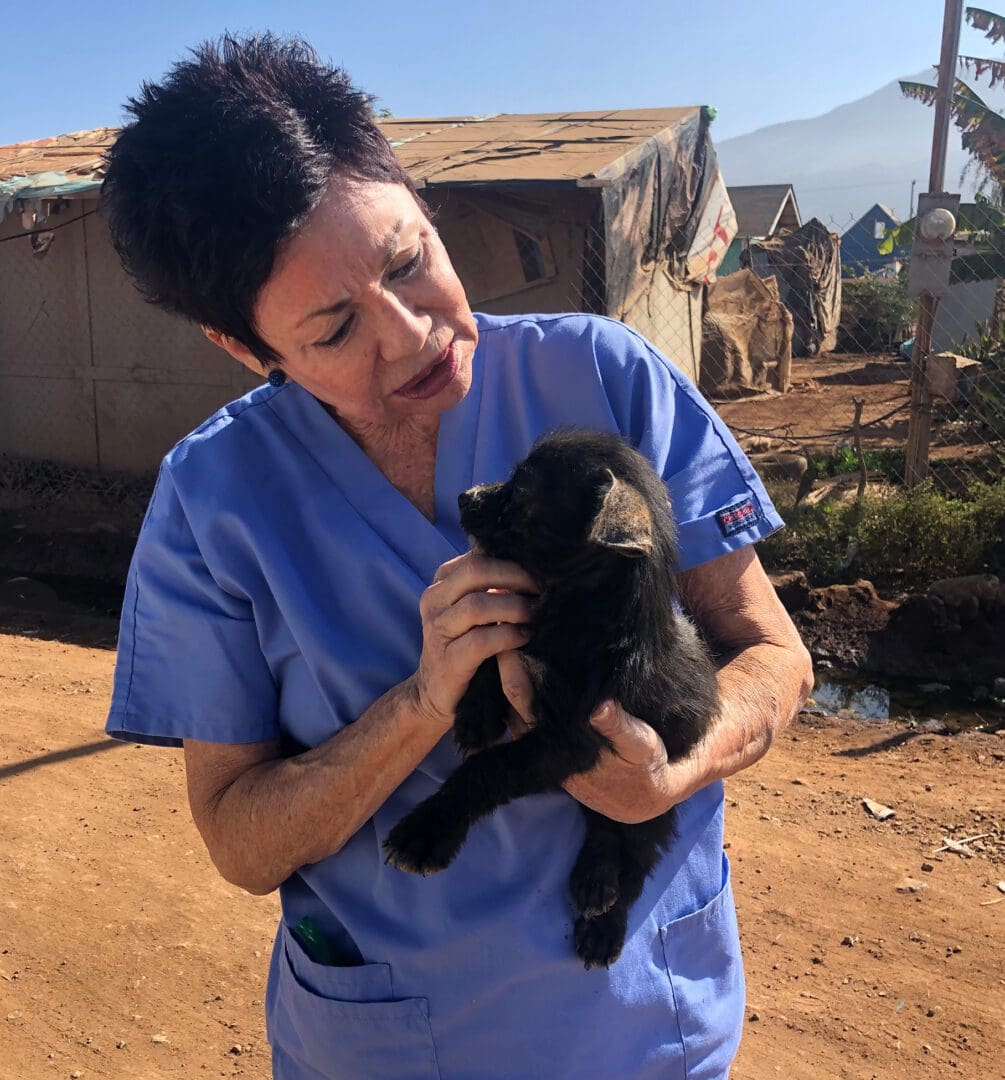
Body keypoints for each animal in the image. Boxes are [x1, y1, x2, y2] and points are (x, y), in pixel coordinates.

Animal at [384, 429, 721, 972]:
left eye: (521, 493)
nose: (464, 496)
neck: (573, 615)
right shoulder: (524, 637)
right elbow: (495, 648)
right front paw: (476, 717)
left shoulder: (570, 741)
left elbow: (487, 770)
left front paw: (427, 831)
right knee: (604, 829)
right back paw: (592, 880)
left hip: (654, 803)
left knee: (632, 856)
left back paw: (603, 919)